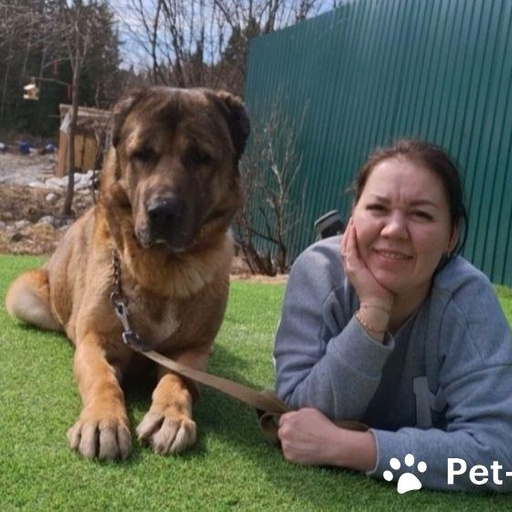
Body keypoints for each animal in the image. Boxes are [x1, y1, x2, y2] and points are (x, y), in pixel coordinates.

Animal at [6, 87, 250, 460]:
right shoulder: (95, 342)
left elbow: (177, 382)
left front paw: (169, 417)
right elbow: (102, 379)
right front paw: (102, 420)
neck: (162, 272)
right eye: (143, 154)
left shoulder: (193, 352)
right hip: (23, 297)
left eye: (200, 157)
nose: (162, 212)